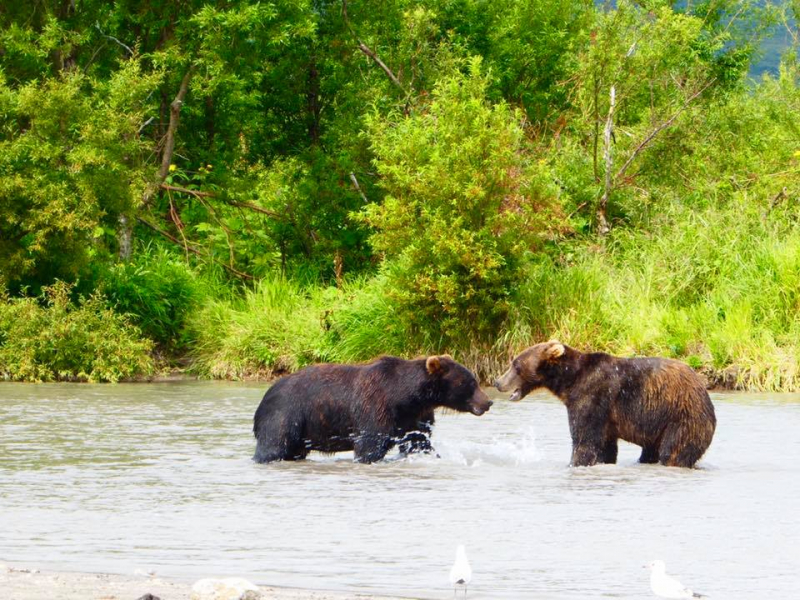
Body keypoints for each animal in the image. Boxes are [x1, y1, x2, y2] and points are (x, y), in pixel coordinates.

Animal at [253, 356, 490, 464]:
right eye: (470, 382)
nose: (488, 402)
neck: (406, 398)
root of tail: (264, 397)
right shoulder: (375, 407)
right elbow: (369, 446)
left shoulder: (414, 417)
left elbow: (418, 442)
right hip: (285, 415)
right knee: (273, 446)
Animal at [496, 342, 716, 468]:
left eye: (515, 364)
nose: (498, 382)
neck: (569, 381)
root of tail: (705, 393)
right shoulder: (606, 420)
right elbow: (605, 448)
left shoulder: (591, 397)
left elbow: (584, 442)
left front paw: (573, 463)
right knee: (650, 452)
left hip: (681, 417)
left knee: (673, 451)